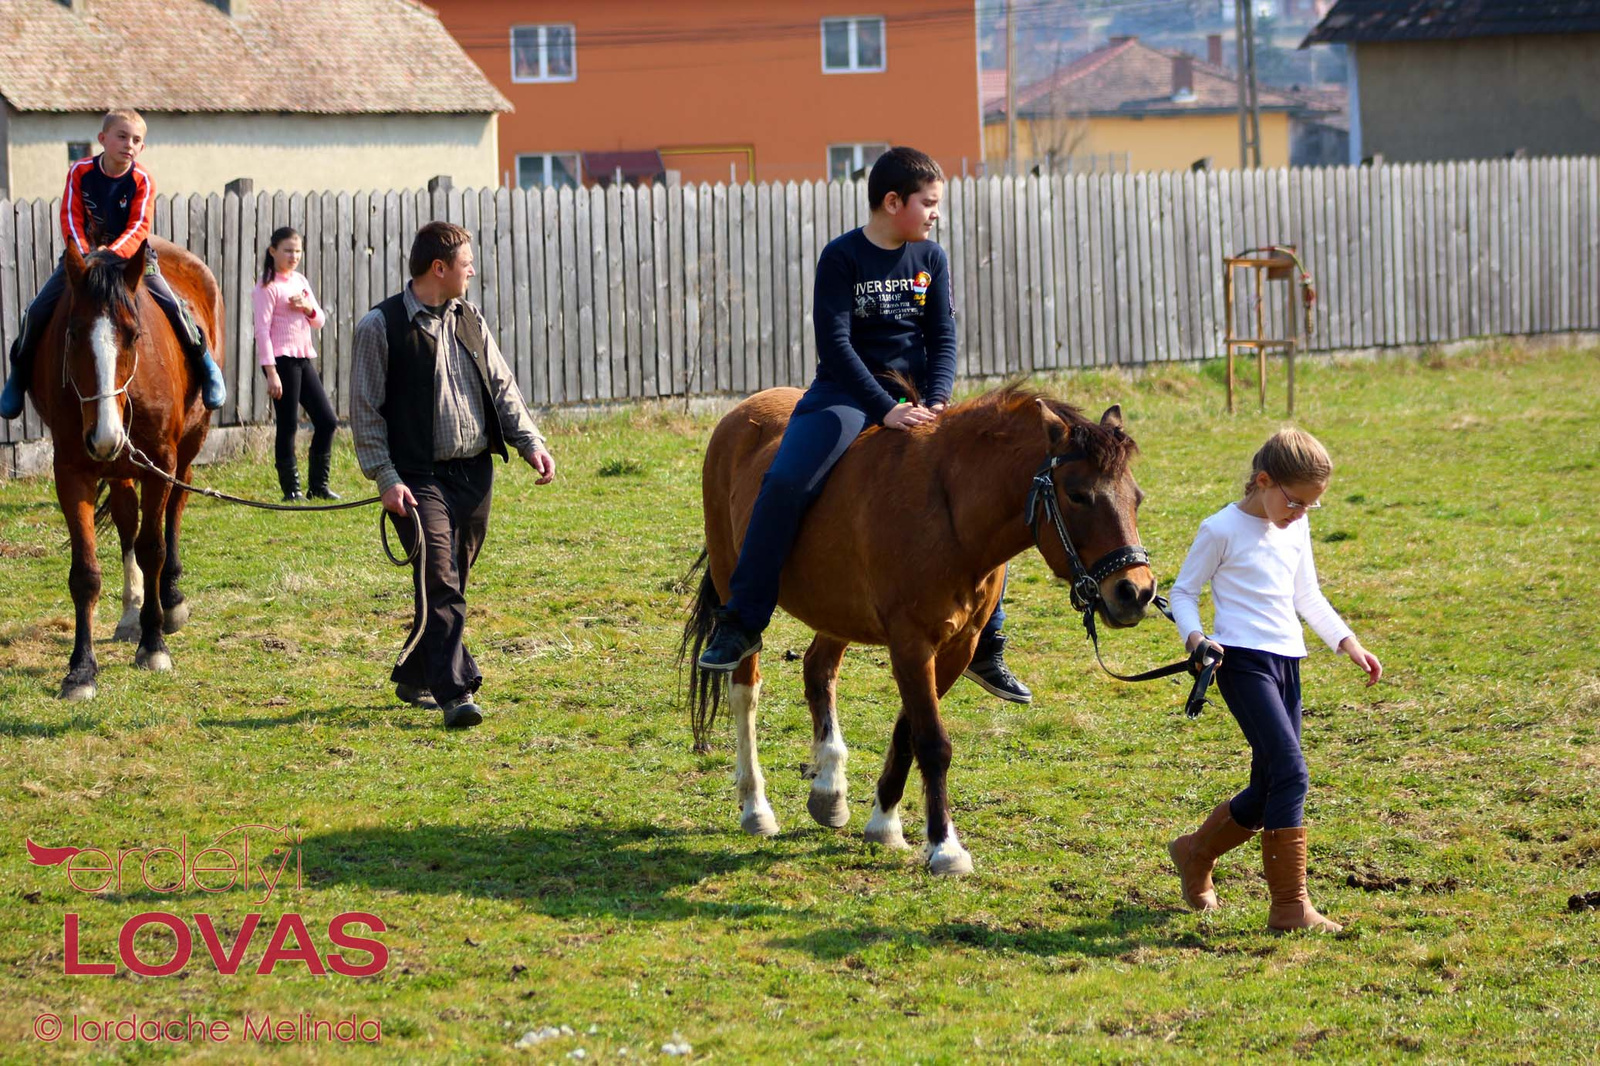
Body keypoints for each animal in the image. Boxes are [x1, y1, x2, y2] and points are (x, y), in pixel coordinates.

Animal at [26, 235, 220, 697]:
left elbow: (153, 548)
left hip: (187, 447)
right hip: (119, 468)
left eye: (133, 335)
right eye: (73, 333)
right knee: (127, 519)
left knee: (174, 509)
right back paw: (132, 611)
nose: (104, 436)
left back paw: (169, 598)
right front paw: (81, 670)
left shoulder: (160, 463)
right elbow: (86, 573)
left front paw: (154, 645)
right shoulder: (71, 471)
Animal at [681, 382, 1158, 870]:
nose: (1135, 592)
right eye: (1078, 495)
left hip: (837, 611)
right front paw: (945, 847)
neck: (951, 511)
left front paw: (884, 824)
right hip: (733, 582)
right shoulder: (911, 644)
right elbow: (931, 741)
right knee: (745, 691)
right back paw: (755, 807)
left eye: (1136, 498)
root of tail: (741, 412)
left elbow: (908, 732)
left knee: (818, 671)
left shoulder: (957, 648)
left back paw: (829, 787)